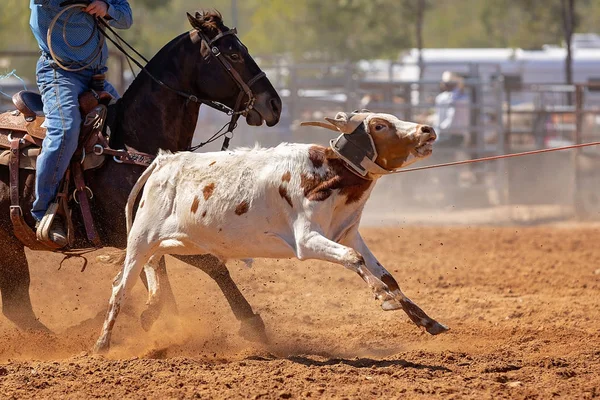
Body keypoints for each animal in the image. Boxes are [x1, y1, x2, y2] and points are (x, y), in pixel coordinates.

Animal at [0, 10, 280, 340]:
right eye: (234, 54)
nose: (274, 104)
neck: (131, 142)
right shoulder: (140, 233)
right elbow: (209, 264)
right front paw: (252, 325)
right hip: (8, 246)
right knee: (18, 306)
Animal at [94, 111, 448, 352]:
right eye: (379, 125)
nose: (427, 129)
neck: (328, 173)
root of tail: (163, 162)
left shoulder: (346, 233)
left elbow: (387, 275)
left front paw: (428, 321)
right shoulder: (308, 240)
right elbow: (353, 259)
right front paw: (382, 297)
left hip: (179, 242)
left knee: (154, 265)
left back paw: (151, 310)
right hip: (141, 238)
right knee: (120, 286)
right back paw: (103, 343)